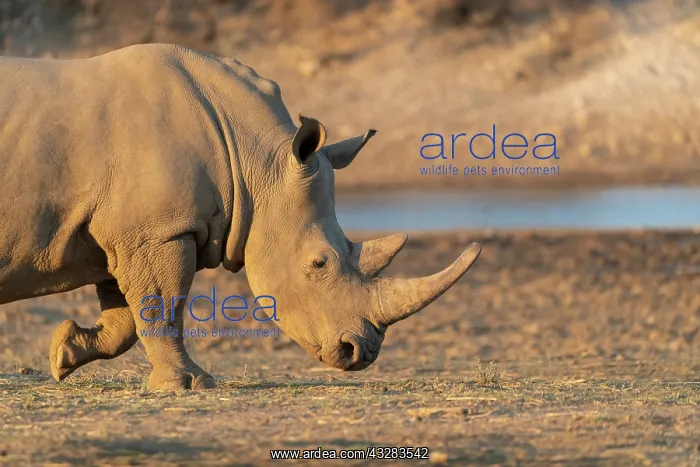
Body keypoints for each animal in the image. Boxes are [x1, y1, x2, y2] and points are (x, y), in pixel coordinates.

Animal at [0, 44, 481, 390]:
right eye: (319, 264)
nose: (359, 353)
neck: (255, 159)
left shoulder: (132, 229)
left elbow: (126, 317)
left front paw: (64, 351)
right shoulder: (158, 231)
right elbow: (162, 305)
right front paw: (188, 384)